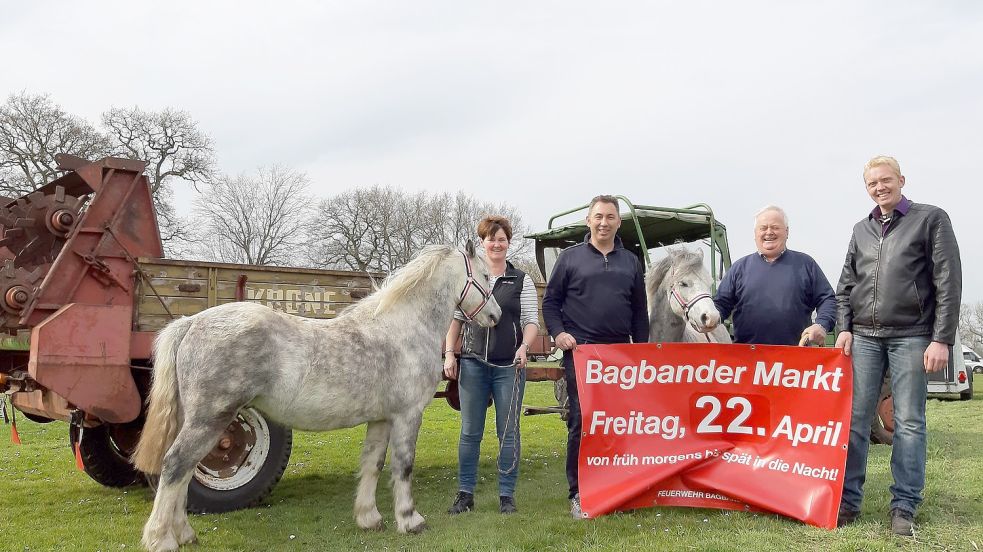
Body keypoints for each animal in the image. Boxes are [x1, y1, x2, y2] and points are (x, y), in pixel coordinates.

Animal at [133, 244, 500, 552]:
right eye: (484, 276)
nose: (495, 316)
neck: (402, 330)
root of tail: (190, 323)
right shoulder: (407, 415)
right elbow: (403, 467)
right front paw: (410, 520)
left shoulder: (381, 419)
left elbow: (373, 465)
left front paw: (369, 518)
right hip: (212, 419)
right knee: (175, 464)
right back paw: (162, 539)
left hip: (198, 421)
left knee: (183, 471)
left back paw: (183, 533)